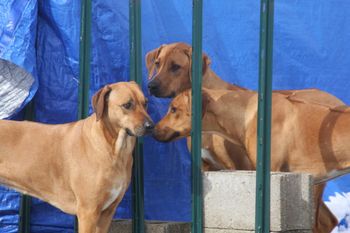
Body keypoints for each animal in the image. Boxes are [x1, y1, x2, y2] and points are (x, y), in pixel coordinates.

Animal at [0, 81, 153, 233]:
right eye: (127, 105)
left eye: (145, 103)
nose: (150, 126)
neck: (115, 151)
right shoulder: (88, 211)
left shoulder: (108, 212)